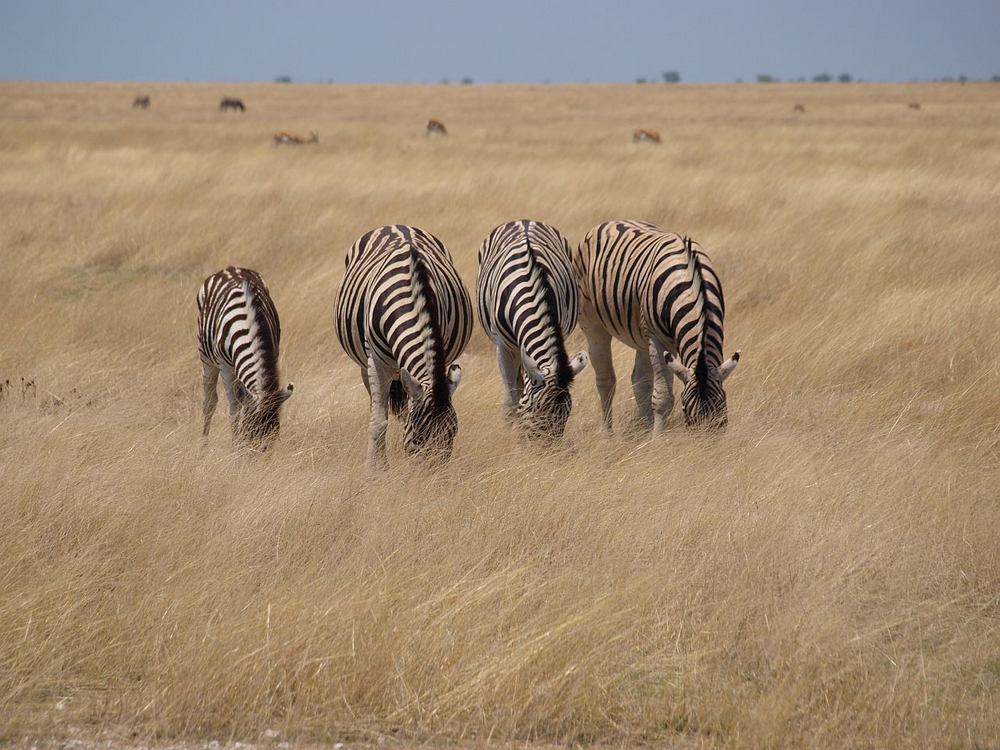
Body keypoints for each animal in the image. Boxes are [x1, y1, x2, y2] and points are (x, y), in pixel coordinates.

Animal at [197, 267, 294, 448]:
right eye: (250, 433)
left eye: (274, 437)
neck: (249, 324)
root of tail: (229, 268)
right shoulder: (225, 366)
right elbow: (234, 409)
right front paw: (235, 446)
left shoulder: (273, 352)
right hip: (206, 356)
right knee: (209, 402)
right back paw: (203, 448)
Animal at [335, 225, 473, 467]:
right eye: (418, 437)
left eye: (452, 434)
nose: (435, 475)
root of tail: (395, 226)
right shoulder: (376, 363)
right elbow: (379, 421)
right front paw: (376, 468)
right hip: (363, 365)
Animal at [476, 220, 588, 440]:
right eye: (535, 410)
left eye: (567, 413)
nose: (547, 449)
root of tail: (524, 221)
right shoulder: (503, 347)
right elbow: (511, 398)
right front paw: (508, 432)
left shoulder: (558, 328)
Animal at [573, 220, 740, 434]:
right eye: (685, 410)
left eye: (721, 408)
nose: (702, 441)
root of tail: (611, 222)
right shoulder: (659, 340)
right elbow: (663, 398)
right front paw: (658, 439)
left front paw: (653, 436)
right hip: (593, 324)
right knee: (605, 380)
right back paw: (608, 435)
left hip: (641, 335)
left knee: (639, 380)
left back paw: (645, 428)